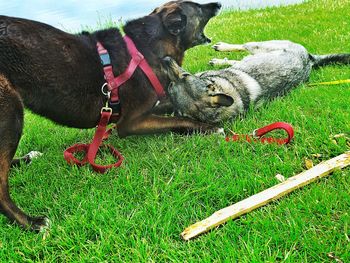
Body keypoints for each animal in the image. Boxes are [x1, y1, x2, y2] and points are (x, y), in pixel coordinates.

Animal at [0, 0, 221, 231]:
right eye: (198, 8)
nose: (217, 4)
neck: (145, 51)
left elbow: (175, 107)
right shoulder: (132, 122)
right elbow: (178, 120)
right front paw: (209, 127)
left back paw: (28, 158)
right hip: (10, 110)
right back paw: (31, 222)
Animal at [165, 40, 350, 125]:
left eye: (185, 75)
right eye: (171, 86)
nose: (166, 59)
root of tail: (310, 59)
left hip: (260, 46)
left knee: (243, 46)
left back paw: (222, 48)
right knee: (239, 59)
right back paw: (219, 60)